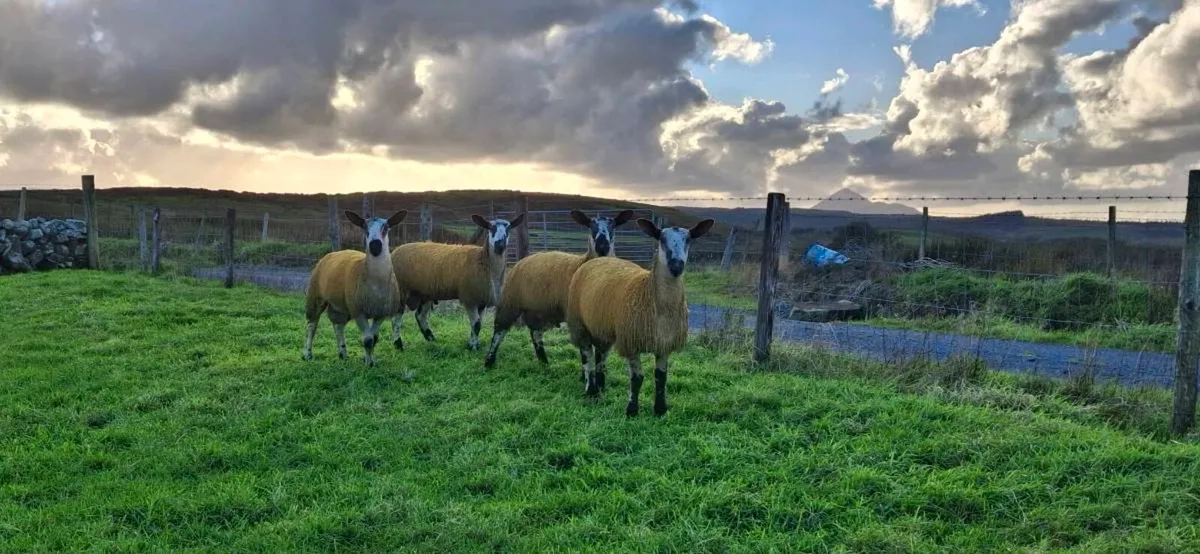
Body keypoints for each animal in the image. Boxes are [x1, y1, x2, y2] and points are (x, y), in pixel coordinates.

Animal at [303, 210, 408, 366]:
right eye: (365, 228)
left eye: (386, 228)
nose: (375, 246)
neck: (375, 282)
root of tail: (335, 253)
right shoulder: (358, 311)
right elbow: (368, 340)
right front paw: (369, 364)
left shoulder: (381, 313)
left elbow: (374, 339)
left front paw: (371, 360)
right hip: (316, 295)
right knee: (312, 325)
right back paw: (307, 354)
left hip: (342, 305)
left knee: (338, 326)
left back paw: (343, 353)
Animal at [389, 212, 527, 351]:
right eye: (491, 228)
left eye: (509, 228)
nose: (500, 245)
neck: (483, 261)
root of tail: (394, 252)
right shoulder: (470, 298)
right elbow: (476, 325)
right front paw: (473, 347)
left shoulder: (481, 299)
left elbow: (478, 324)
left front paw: (473, 344)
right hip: (401, 289)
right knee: (396, 319)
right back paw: (398, 344)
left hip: (426, 292)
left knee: (420, 316)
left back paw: (431, 339)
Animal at [483, 209, 635, 369]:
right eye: (590, 226)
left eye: (613, 225)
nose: (602, 246)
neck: (583, 262)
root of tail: (524, 260)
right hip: (511, 299)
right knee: (499, 329)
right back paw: (489, 361)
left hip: (536, 309)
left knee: (535, 333)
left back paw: (544, 362)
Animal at [565, 217, 715, 417]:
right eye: (661, 239)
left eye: (689, 239)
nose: (676, 266)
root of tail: (600, 258)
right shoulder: (631, 342)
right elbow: (637, 378)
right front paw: (632, 410)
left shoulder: (664, 343)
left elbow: (661, 378)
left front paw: (660, 409)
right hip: (579, 322)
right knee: (586, 355)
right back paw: (592, 391)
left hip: (601, 325)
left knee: (600, 355)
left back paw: (601, 384)